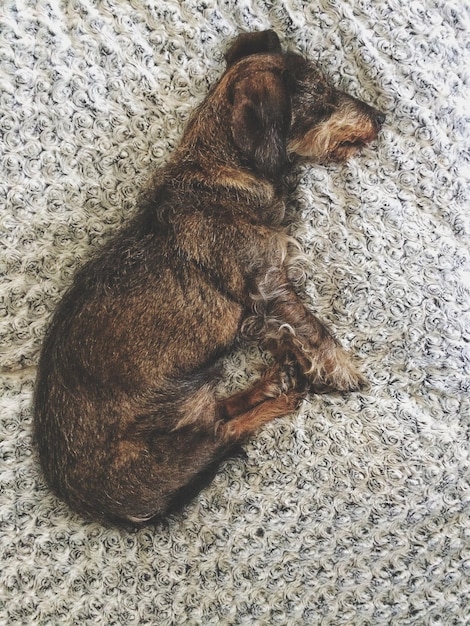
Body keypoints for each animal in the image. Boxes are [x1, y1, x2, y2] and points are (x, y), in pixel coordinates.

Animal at [34, 31, 386, 524]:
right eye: (320, 92)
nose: (381, 117)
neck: (222, 176)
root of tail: (89, 503)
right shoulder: (270, 286)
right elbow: (313, 330)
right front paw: (342, 369)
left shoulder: (259, 307)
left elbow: (283, 334)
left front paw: (297, 359)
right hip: (165, 454)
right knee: (225, 432)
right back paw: (279, 397)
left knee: (219, 411)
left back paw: (273, 381)